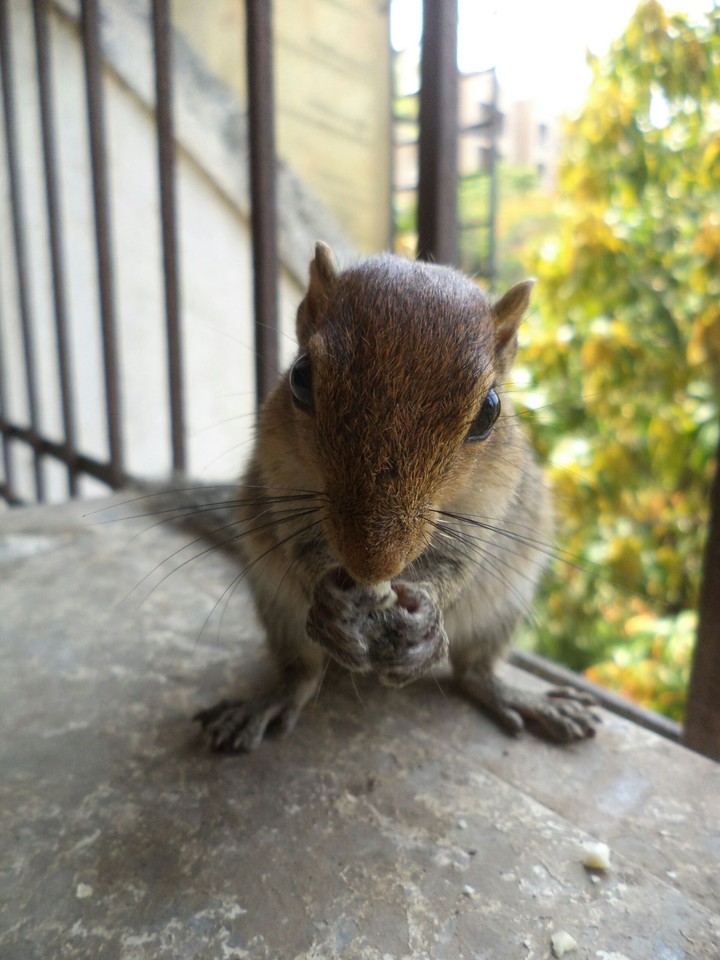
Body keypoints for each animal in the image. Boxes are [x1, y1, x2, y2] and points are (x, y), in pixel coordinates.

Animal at [194, 242, 598, 751]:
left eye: (491, 410)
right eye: (300, 378)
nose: (373, 567)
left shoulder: (490, 503)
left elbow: (459, 564)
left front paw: (427, 614)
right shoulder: (280, 478)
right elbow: (300, 545)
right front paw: (327, 597)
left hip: (501, 608)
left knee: (473, 671)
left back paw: (516, 694)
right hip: (279, 607)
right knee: (301, 674)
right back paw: (273, 698)